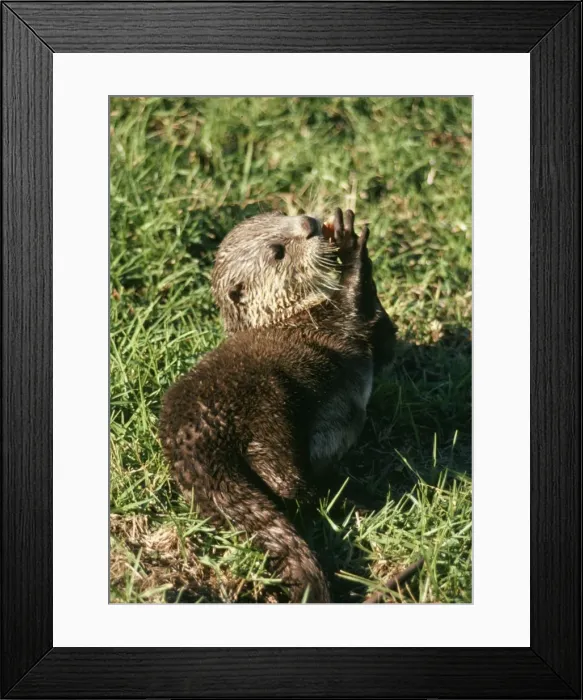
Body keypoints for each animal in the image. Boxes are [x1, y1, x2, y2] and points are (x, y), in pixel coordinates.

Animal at [159, 209, 396, 602]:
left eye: (280, 215)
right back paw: (361, 497)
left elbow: (385, 340)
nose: (310, 223)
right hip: (268, 404)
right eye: (277, 251)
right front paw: (349, 242)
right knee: (286, 481)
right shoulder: (337, 322)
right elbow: (356, 305)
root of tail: (191, 444)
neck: (294, 313)